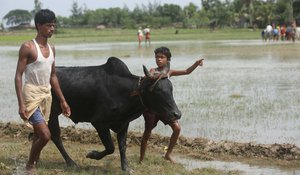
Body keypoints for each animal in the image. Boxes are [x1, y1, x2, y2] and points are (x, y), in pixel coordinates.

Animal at [48, 57, 182, 171]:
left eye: (171, 88)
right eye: (157, 90)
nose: (177, 114)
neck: (126, 92)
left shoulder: (123, 123)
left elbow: (122, 146)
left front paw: (126, 168)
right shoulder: (99, 122)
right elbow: (110, 147)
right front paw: (92, 155)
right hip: (52, 113)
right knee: (56, 137)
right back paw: (71, 162)